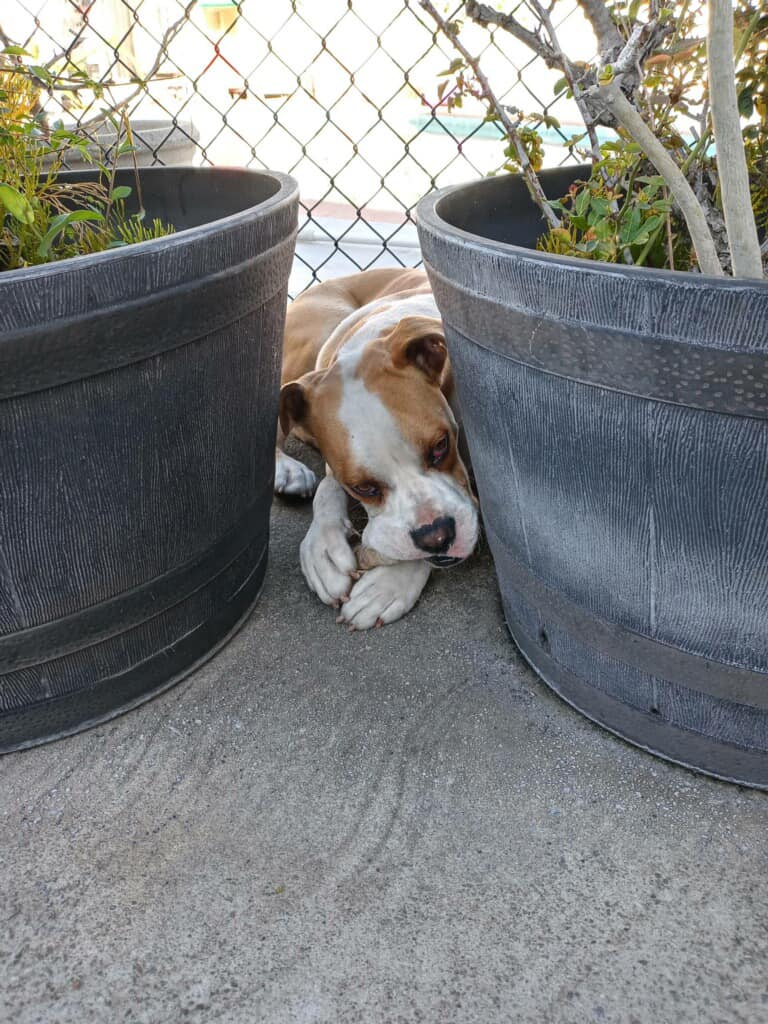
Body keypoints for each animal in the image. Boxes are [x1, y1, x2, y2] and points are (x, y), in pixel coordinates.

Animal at [276, 268, 481, 626]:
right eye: (364, 488)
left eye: (441, 446)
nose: (437, 536)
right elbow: (328, 488)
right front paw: (324, 547)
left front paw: (388, 585)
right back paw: (286, 470)